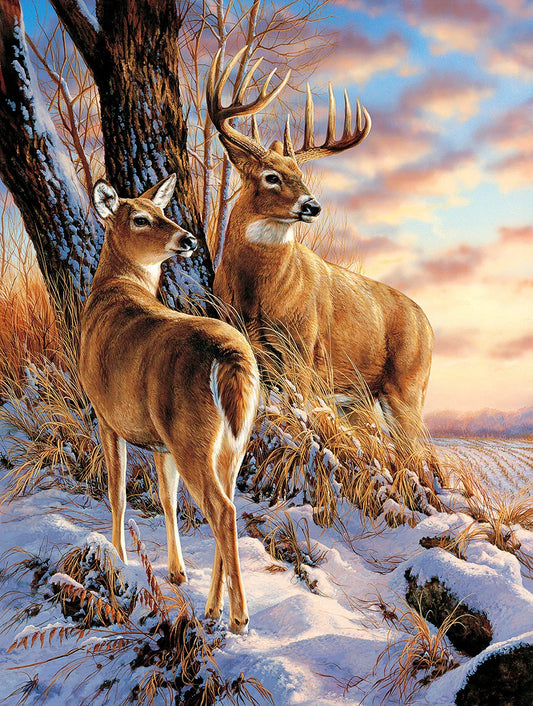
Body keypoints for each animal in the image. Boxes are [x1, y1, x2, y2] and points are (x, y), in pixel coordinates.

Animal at [79, 174, 260, 633]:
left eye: (163, 211)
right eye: (141, 218)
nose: (189, 239)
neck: (114, 290)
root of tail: (229, 355)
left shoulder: (106, 415)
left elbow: (117, 492)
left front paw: (119, 559)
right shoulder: (158, 440)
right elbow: (166, 497)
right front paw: (176, 572)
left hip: (191, 436)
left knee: (222, 510)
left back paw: (238, 617)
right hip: (232, 439)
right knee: (227, 504)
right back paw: (212, 608)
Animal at [207, 48, 434, 459]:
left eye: (300, 175)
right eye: (271, 176)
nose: (312, 206)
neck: (257, 292)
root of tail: (428, 324)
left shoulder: (304, 349)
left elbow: (299, 418)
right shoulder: (246, 343)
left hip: (408, 385)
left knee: (420, 453)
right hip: (361, 395)